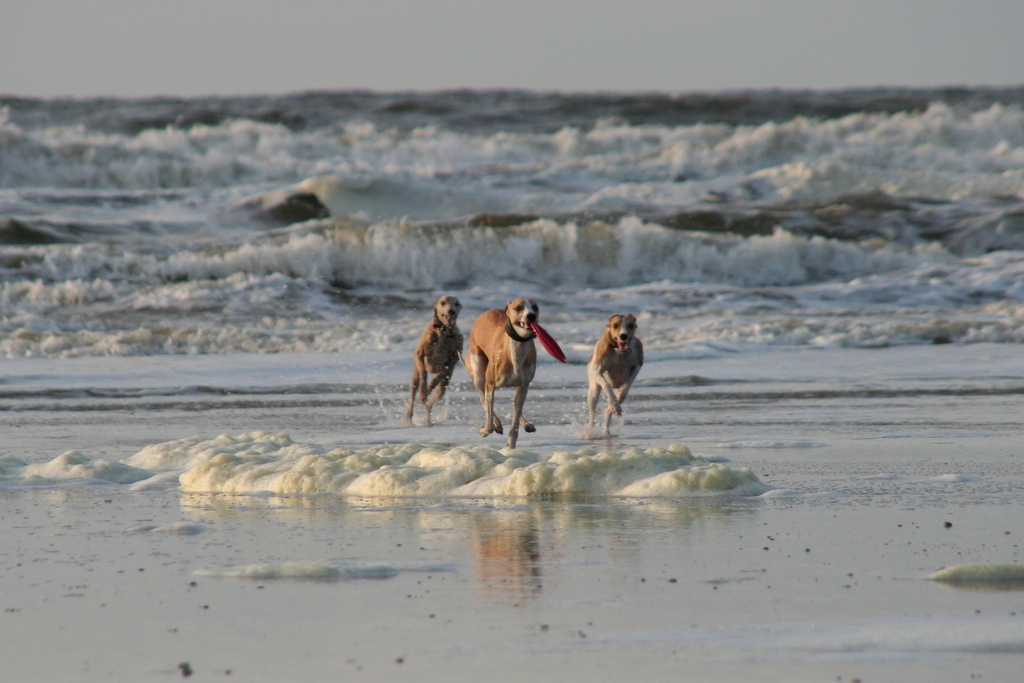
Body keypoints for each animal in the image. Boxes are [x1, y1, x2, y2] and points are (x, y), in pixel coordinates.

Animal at [403, 294, 464, 423]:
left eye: (457, 303)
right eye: (443, 302)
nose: (451, 311)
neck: (443, 330)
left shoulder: (453, 360)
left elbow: (442, 373)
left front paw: (429, 387)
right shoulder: (420, 355)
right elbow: (423, 374)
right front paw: (423, 391)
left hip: (442, 387)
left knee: (433, 400)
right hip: (414, 379)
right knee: (413, 392)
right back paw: (411, 414)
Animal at [466, 296, 540, 448]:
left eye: (535, 307)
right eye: (518, 308)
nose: (531, 316)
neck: (516, 351)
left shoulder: (523, 386)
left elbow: (515, 422)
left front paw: (510, 447)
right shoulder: (490, 384)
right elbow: (489, 423)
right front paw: (484, 430)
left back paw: (526, 424)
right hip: (478, 374)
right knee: (482, 398)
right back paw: (497, 424)